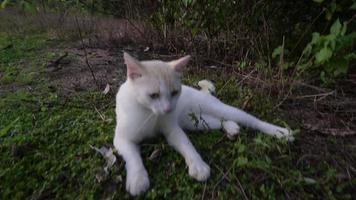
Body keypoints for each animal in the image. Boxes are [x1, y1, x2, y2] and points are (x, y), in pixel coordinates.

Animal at [112, 52, 294, 196]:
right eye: (153, 95)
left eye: (174, 92)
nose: (169, 109)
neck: (149, 113)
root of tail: (201, 92)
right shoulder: (121, 139)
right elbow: (133, 157)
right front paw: (138, 178)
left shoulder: (173, 130)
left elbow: (186, 145)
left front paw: (198, 165)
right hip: (195, 122)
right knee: (219, 121)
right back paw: (231, 128)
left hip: (218, 111)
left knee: (252, 120)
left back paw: (281, 133)